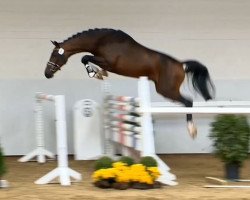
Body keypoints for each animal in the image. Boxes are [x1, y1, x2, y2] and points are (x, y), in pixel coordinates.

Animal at [45, 28, 215, 138]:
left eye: (54, 54)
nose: (47, 74)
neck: (101, 41)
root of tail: (181, 65)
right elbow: (87, 59)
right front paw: (100, 73)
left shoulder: (108, 62)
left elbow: (84, 57)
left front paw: (95, 73)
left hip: (167, 90)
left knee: (188, 102)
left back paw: (191, 130)